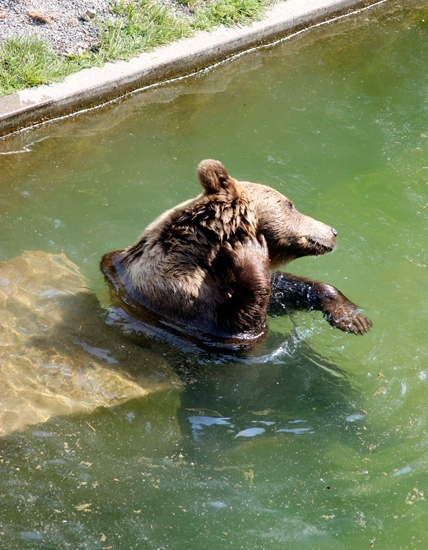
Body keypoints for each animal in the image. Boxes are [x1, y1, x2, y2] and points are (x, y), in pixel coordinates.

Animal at [101, 161, 372, 350]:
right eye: (290, 205)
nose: (333, 232)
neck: (212, 261)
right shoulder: (182, 302)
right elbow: (243, 329)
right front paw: (249, 253)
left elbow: (280, 290)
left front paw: (352, 318)